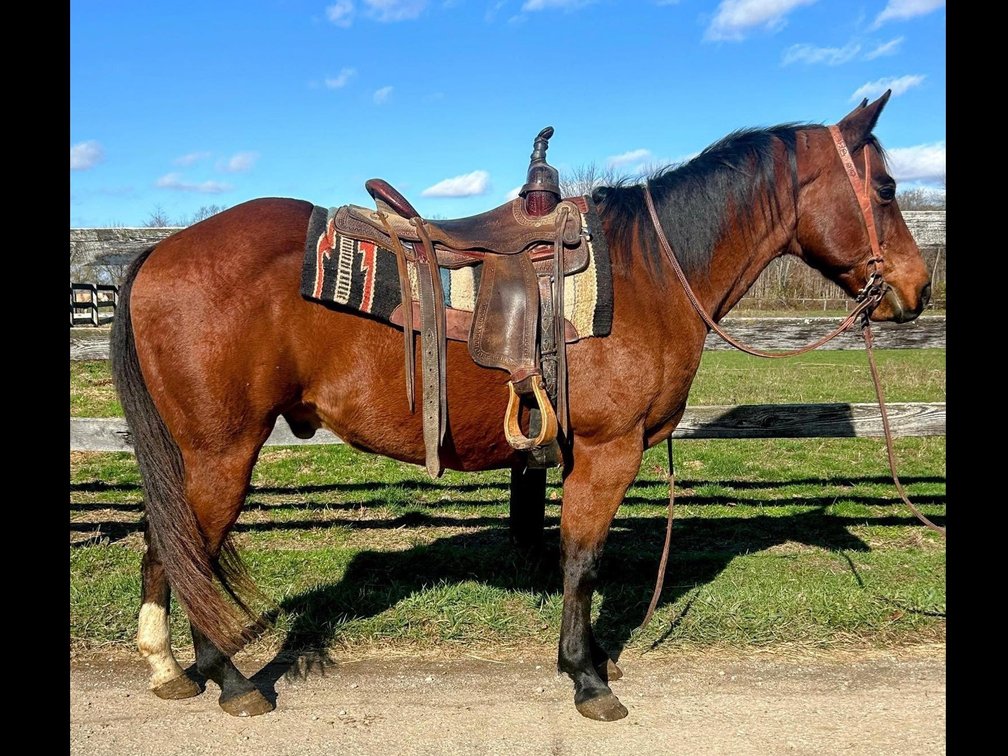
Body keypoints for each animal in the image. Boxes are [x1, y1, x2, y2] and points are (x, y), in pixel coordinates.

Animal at [110, 91, 931, 721]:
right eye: (887, 189)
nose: (918, 288)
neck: (650, 272)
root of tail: (159, 252)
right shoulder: (607, 451)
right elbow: (583, 560)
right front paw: (587, 677)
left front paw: (595, 659)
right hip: (222, 452)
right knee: (190, 552)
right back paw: (232, 681)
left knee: (167, 544)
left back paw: (170, 669)